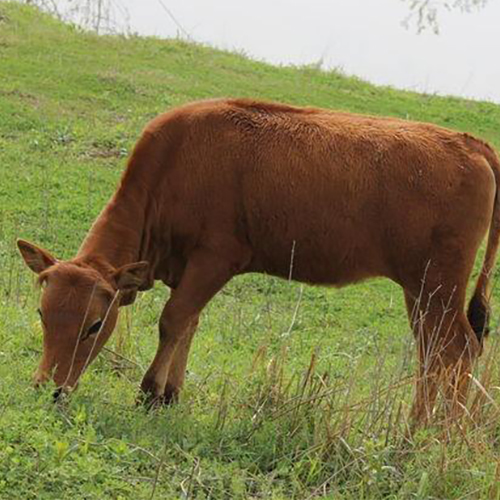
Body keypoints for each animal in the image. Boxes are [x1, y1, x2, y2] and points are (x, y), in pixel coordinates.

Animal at [16, 98, 500, 426]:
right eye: (41, 313)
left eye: (95, 325)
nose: (47, 389)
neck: (174, 167)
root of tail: (471, 144)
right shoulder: (185, 270)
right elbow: (188, 323)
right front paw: (170, 393)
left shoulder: (215, 259)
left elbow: (173, 320)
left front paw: (149, 393)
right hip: (421, 291)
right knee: (432, 352)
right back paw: (419, 426)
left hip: (438, 287)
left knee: (456, 348)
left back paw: (431, 433)